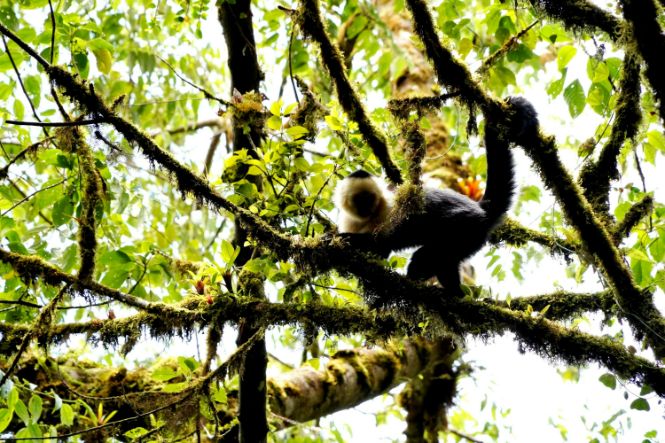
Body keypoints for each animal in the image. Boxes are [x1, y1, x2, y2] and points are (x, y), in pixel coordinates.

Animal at [333, 97, 539, 296]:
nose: (365, 207)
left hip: (466, 226)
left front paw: (345, 239)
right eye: (358, 200)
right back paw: (455, 293)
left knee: (427, 256)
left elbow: (382, 244)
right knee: (446, 262)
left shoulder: (388, 210)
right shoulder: (349, 219)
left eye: (369, 198)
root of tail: (481, 207)